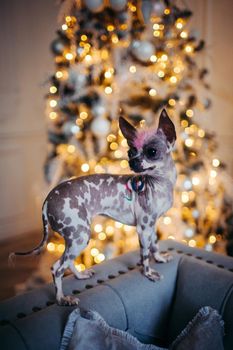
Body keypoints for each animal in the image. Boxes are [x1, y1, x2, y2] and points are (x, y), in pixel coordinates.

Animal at [10, 108, 176, 304]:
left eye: (152, 151)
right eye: (130, 152)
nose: (132, 162)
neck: (160, 184)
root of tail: (48, 199)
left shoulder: (152, 225)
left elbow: (154, 245)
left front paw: (159, 258)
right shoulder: (143, 228)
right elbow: (144, 254)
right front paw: (149, 273)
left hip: (76, 238)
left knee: (67, 262)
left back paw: (79, 276)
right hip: (80, 236)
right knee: (56, 268)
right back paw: (62, 299)